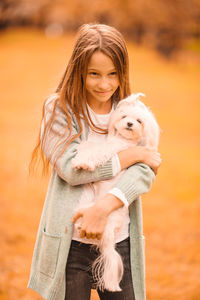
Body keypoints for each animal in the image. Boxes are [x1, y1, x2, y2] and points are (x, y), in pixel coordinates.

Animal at [71, 93, 160, 290]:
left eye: (139, 121)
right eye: (124, 116)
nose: (130, 124)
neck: (122, 139)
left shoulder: (112, 150)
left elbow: (97, 151)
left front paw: (82, 161)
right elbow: (91, 146)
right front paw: (82, 149)